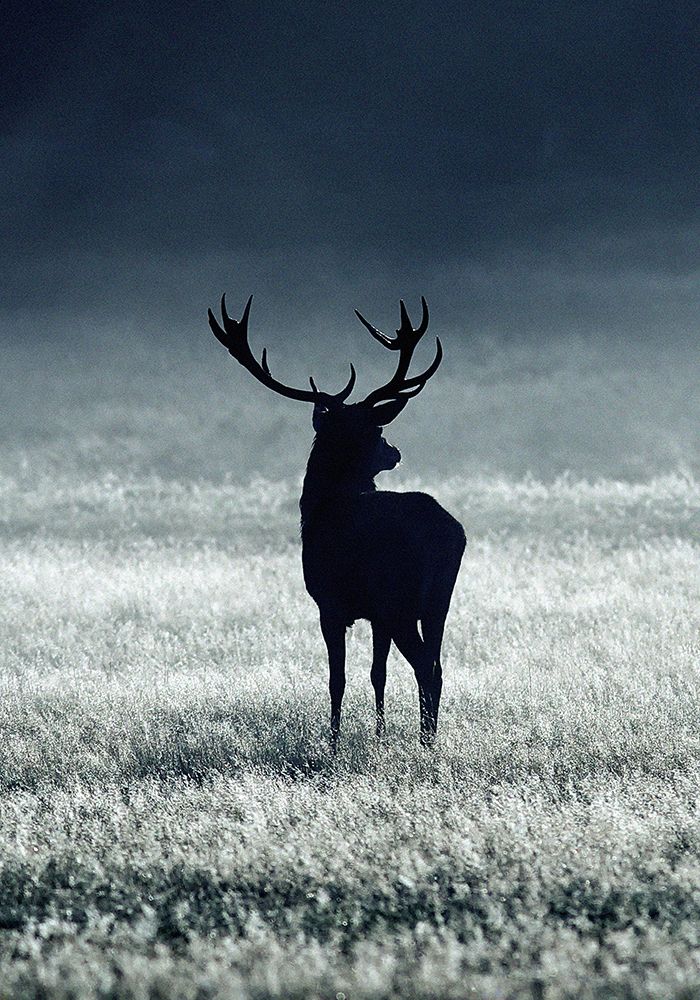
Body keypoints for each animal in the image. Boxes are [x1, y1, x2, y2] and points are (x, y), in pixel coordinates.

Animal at [208, 294, 466, 747]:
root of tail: (450, 533)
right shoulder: (376, 614)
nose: (394, 451)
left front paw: (333, 741)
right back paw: (430, 739)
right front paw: (378, 733)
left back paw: (425, 742)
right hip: (438, 601)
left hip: (399, 598)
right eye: (376, 431)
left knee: (424, 666)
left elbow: (337, 679)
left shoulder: (329, 603)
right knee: (437, 665)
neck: (321, 508)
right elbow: (377, 673)